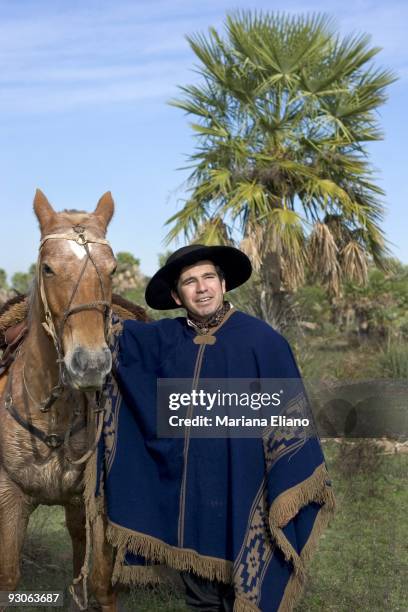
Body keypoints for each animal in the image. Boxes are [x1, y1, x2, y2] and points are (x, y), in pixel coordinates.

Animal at [0, 190, 120, 608]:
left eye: (113, 269)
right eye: (48, 268)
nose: (91, 364)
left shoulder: (96, 501)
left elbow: (101, 584)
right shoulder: (9, 497)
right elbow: (8, 578)